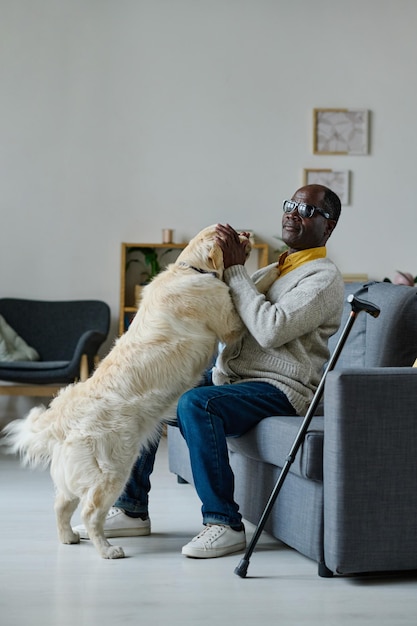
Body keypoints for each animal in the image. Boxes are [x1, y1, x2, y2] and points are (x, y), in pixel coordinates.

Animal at [1, 222, 274, 560]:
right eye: (233, 234)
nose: (249, 233)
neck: (192, 268)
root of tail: (64, 416)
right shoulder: (230, 321)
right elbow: (255, 289)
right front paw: (276, 266)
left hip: (78, 473)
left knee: (61, 505)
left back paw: (69, 538)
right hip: (114, 470)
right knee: (89, 512)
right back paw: (107, 550)